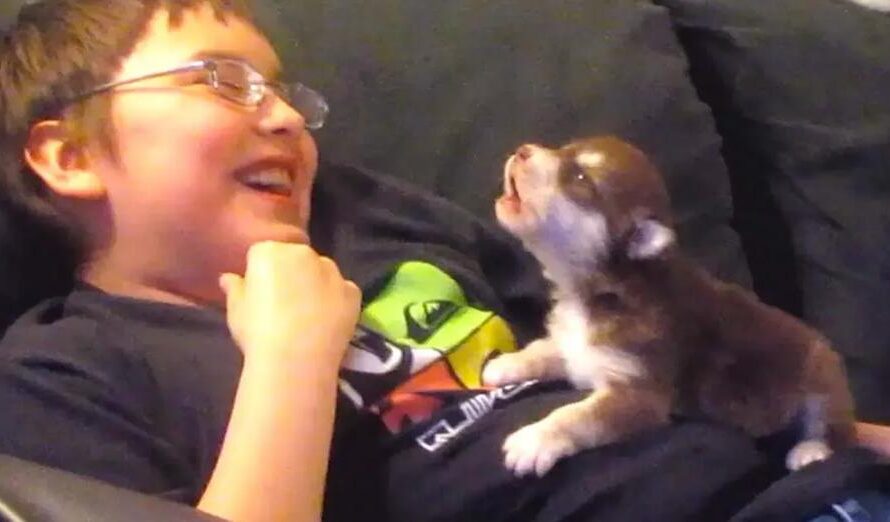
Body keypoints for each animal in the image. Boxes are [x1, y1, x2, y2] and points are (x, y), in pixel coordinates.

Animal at [486, 135, 852, 476]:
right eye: (564, 149)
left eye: (580, 177)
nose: (523, 150)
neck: (598, 291)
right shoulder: (575, 347)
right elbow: (545, 350)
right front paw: (506, 364)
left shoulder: (639, 394)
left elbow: (579, 415)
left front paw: (535, 439)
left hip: (821, 372)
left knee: (831, 426)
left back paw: (810, 450)